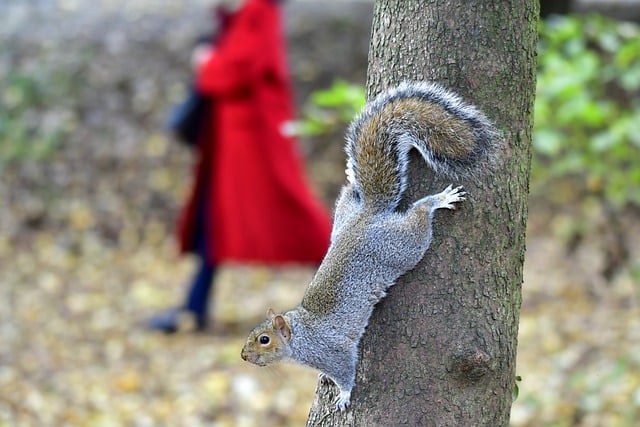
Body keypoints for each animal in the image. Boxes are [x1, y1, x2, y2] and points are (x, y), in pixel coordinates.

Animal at [240, 80, 500, 412]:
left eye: (264, 339)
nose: (243, 355)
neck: (303, 335)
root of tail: (368, 215)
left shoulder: (334, 353)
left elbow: (345, 373)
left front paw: (343, 395)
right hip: (343, 218)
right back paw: (352, 182)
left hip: (403, 246)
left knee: (419, 217)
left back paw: (438, 201)